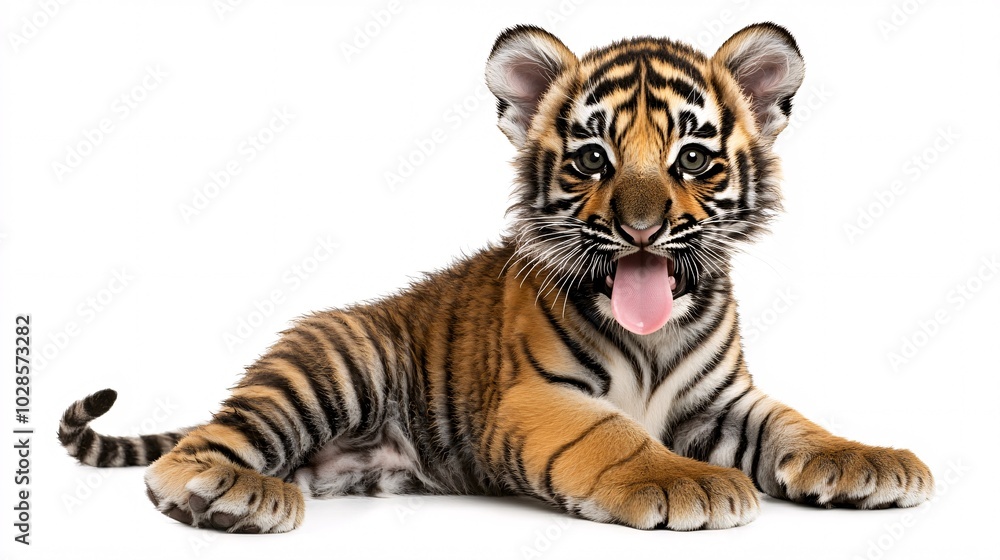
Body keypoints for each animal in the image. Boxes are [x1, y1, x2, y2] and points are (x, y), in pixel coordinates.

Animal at [59, 23, 933, 533]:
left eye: (691, 158)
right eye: (592, 159)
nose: (641, 228)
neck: (656, 336)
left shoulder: (723, 400)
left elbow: (796, 424)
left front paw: (869, 460)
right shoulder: (534, 398)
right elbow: (613, 433)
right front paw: (691, 482)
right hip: (333, 363)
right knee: (192, 451)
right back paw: (235, 493)